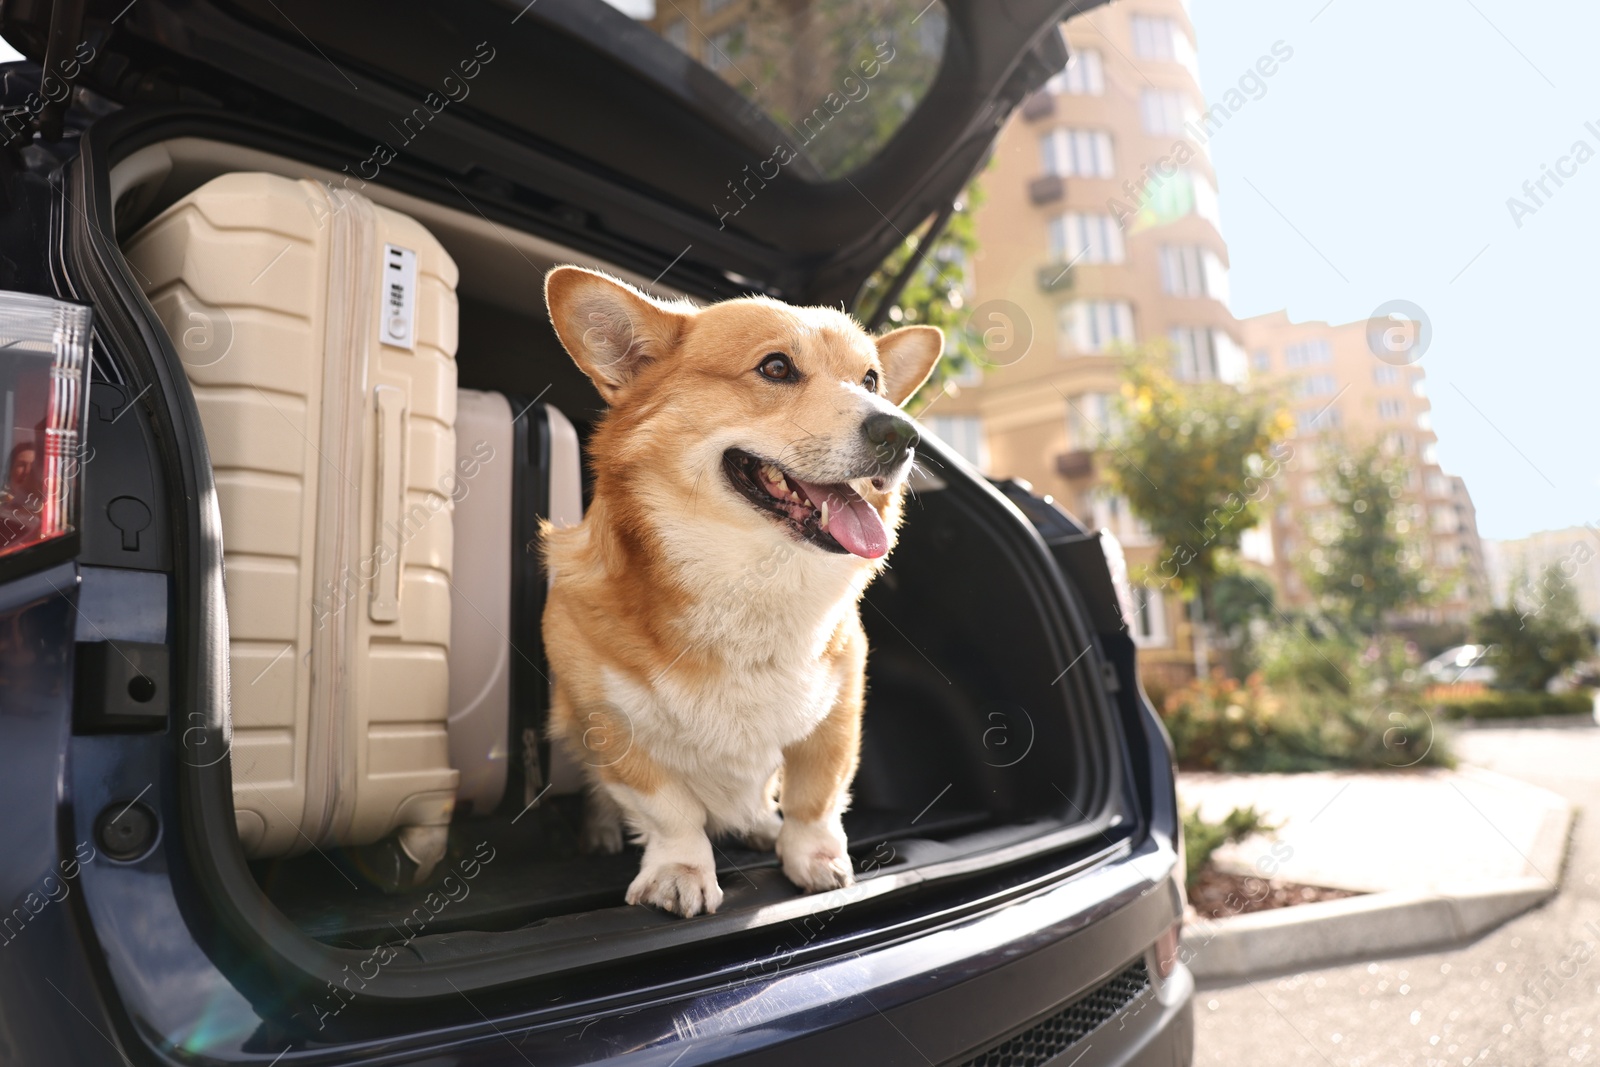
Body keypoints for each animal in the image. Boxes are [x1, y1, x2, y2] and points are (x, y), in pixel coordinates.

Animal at [540, 265, 934, 921]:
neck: (750, 580)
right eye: (776, 368)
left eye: (871, 380)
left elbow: (816, 795)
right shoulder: (610, 723)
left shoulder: (839, 706)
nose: (903, 432)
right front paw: (678, 873)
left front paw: (814, 858)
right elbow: (669, 810)